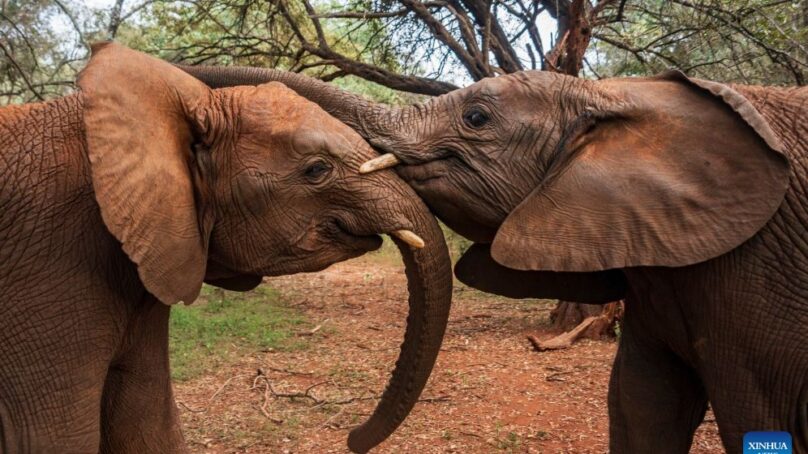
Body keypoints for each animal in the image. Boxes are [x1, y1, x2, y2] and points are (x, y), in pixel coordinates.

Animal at [182, 65, 808, 452]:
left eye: (477, 118)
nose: (352, 438)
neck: (613, 94)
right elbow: (640, 406)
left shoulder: (756, 268)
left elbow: (754, 414)